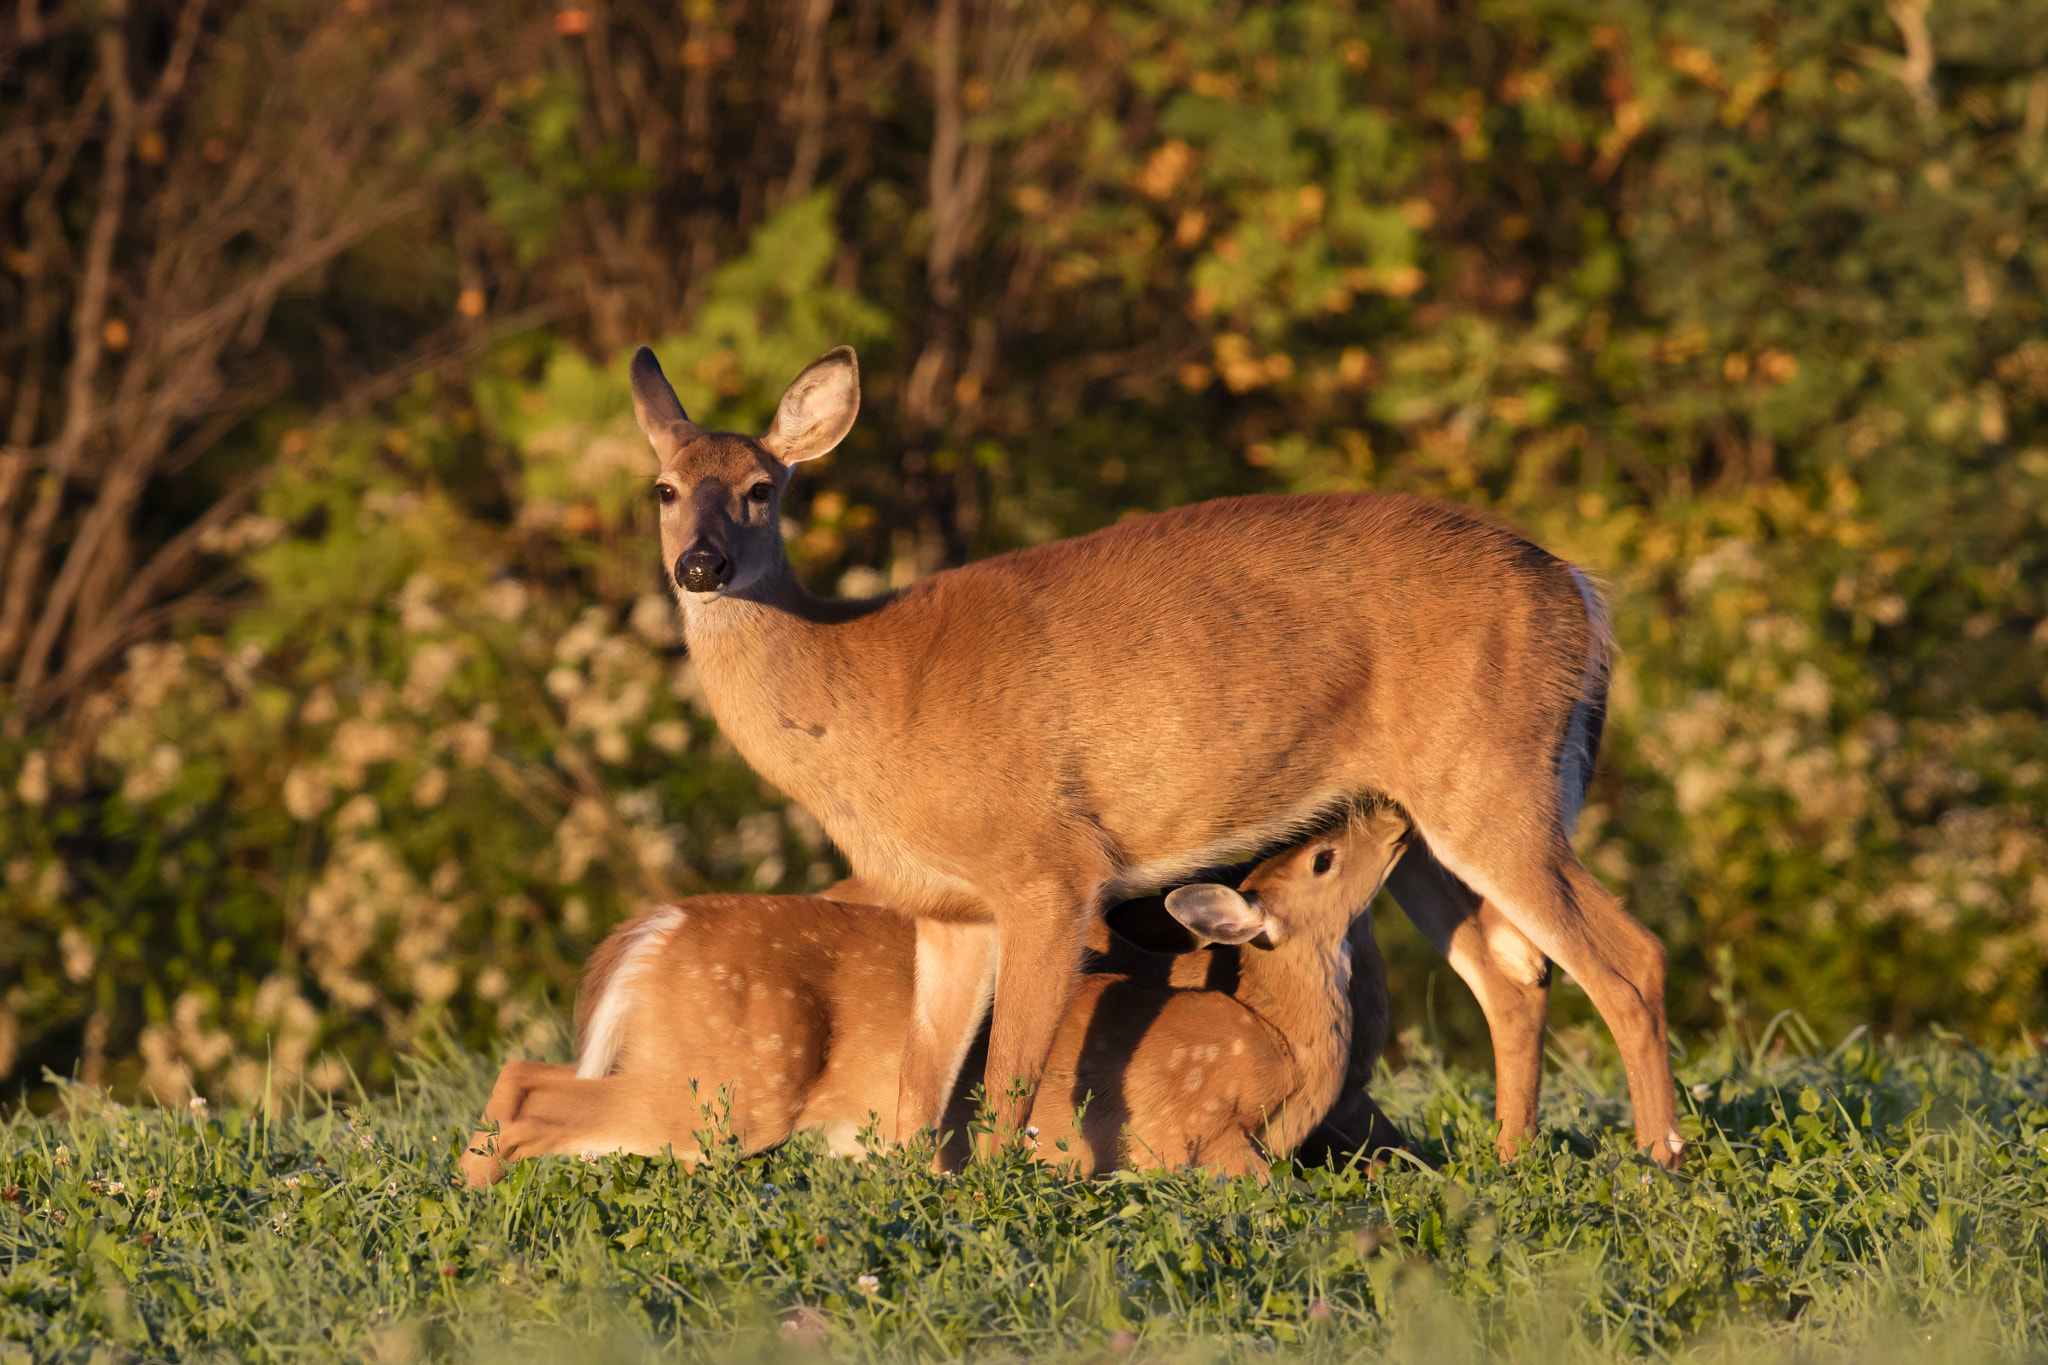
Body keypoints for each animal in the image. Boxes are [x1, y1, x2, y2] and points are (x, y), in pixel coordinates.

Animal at [466, 810, 1417, 1186]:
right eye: (1325, 858)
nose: (1397, 819)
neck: (1285, 1042)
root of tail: (651, 928)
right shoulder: (1206, 1127)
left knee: (523, 1073)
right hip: (732, 1085)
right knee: (531, 1092)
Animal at [634, 347, 1679, 1170]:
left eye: (763, 489)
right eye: (666, 489)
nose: (701, 566)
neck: (857, 687)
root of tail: (1582, 590)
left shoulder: (1048, 867)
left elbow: (1006, 1076)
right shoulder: (948, 907)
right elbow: (918, 1090)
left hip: (1496, 777)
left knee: (1630, 956)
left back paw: (1657, 1159)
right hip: (1422, 823)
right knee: (1515, 976)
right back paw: (1510, 1159)